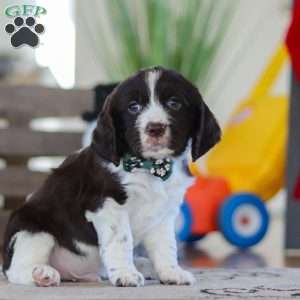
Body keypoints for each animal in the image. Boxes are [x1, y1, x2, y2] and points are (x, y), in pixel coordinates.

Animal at [0, 67, 220, 288]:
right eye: (133, 107)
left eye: (174, 104)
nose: (155, 128)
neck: (151, 167)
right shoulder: (108, 205)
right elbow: (121, 240)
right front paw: (126, 274)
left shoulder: (164, 214)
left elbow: (167, 246)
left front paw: (171, 272)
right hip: (32, 230)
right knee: (16, 269)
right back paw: (42, 274)